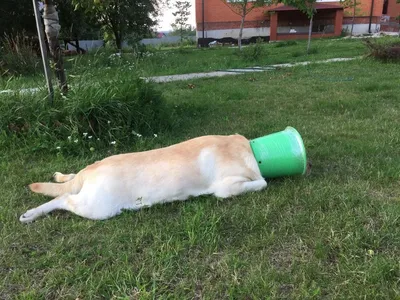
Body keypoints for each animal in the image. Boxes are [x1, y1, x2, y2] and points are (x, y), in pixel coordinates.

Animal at [20, 135, 268, 221]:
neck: (243, 147)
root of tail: (90, 171)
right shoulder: (225, 188)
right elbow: (262, 182)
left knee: (68, 182)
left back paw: (61, 176)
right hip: (96, 207)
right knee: (62, 200)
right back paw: (30, 214)